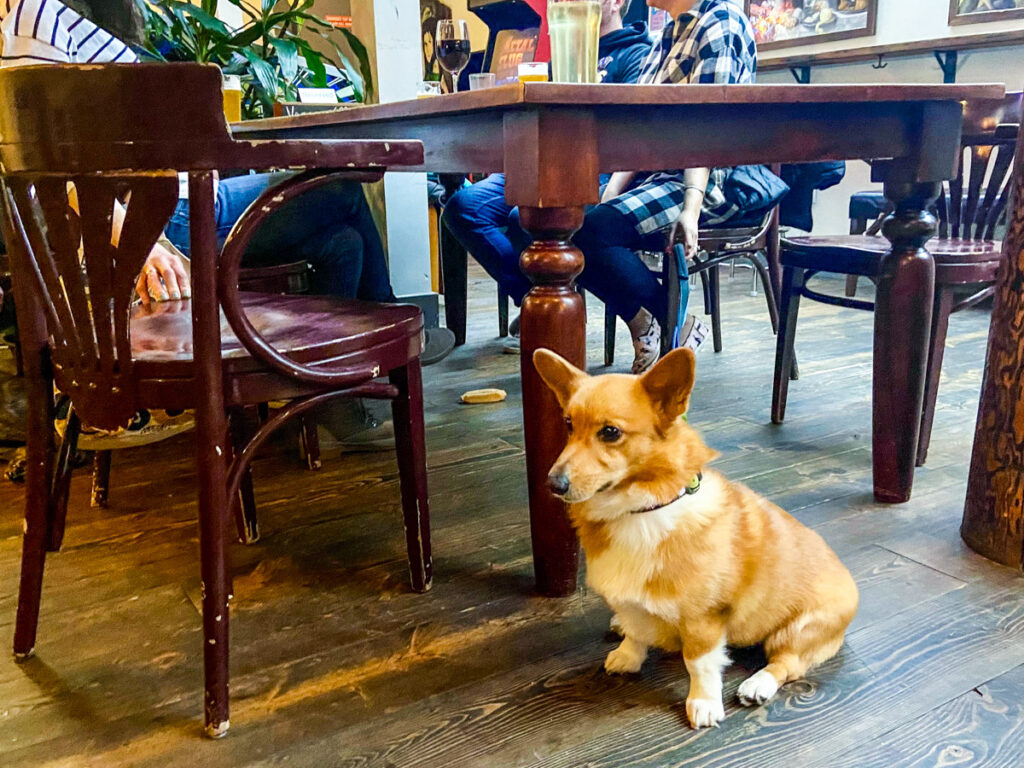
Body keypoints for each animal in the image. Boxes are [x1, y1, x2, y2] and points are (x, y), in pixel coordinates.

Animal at [532, 346, 860, 729]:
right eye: (568, 424)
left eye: (610, 432)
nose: (553, 484)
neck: (640, 510)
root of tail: (851, 583)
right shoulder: (631, 604)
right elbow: (635, 631)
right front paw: (627, 657)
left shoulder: (703, 620)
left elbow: (699, 663)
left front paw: (703, 704)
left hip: (796, 631)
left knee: (787, 664)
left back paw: (757, 685)